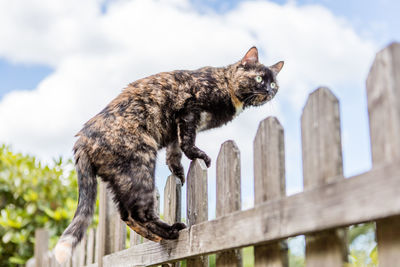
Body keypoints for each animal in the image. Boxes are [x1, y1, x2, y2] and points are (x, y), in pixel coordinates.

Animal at [54, 46, 284, 264]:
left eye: (274, 85)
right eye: (259, 78)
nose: (268, 90)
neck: (226, 85)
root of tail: (81, 140)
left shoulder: (175, 130)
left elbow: (175, 151)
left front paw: (179, 172)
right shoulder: (189, 110)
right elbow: (187, 142)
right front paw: (199, 156)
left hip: (121, 179)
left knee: (126, 215)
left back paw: (158, 236)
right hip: (140, 165)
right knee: (138, 213)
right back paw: (171, 231)